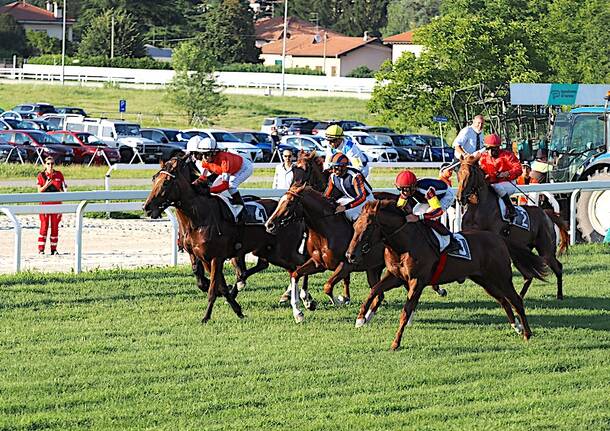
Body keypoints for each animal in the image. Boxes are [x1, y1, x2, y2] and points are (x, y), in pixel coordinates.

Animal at [143, 157, 314, 322]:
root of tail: (298, 216)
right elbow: (210, 283)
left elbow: (213, 288)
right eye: (154, 179)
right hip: (270, 252)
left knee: (301, 264)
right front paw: (237, 309)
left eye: (166, 182)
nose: (147, 207)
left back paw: (306, 300)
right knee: (288, 267)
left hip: (284, 250)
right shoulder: (198, 255)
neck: (198, 217)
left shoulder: (216, 257)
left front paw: (206, 316)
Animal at [346, 201, 548, 352]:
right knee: (503, 300)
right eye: (355, 226)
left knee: (515, 300)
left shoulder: (417, 281)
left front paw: (396, 342)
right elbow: (374, 290)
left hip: (501, 277)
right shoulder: (395, 276)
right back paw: (516, 326)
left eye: (368, 228)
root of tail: (499, 239)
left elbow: (405, 311)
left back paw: (527, 333)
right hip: (484, 280)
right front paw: (361, 318)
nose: (350, 255)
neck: (404, 244)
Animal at [454, 155, 568, 300]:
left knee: (557, 267)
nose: (460, 198)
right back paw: (520, 295)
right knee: (528, 275)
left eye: (470, 175)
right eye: (458, 174)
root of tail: (545, 213)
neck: (478, 208)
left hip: (545, 248)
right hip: (522, 251)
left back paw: (559, 295)